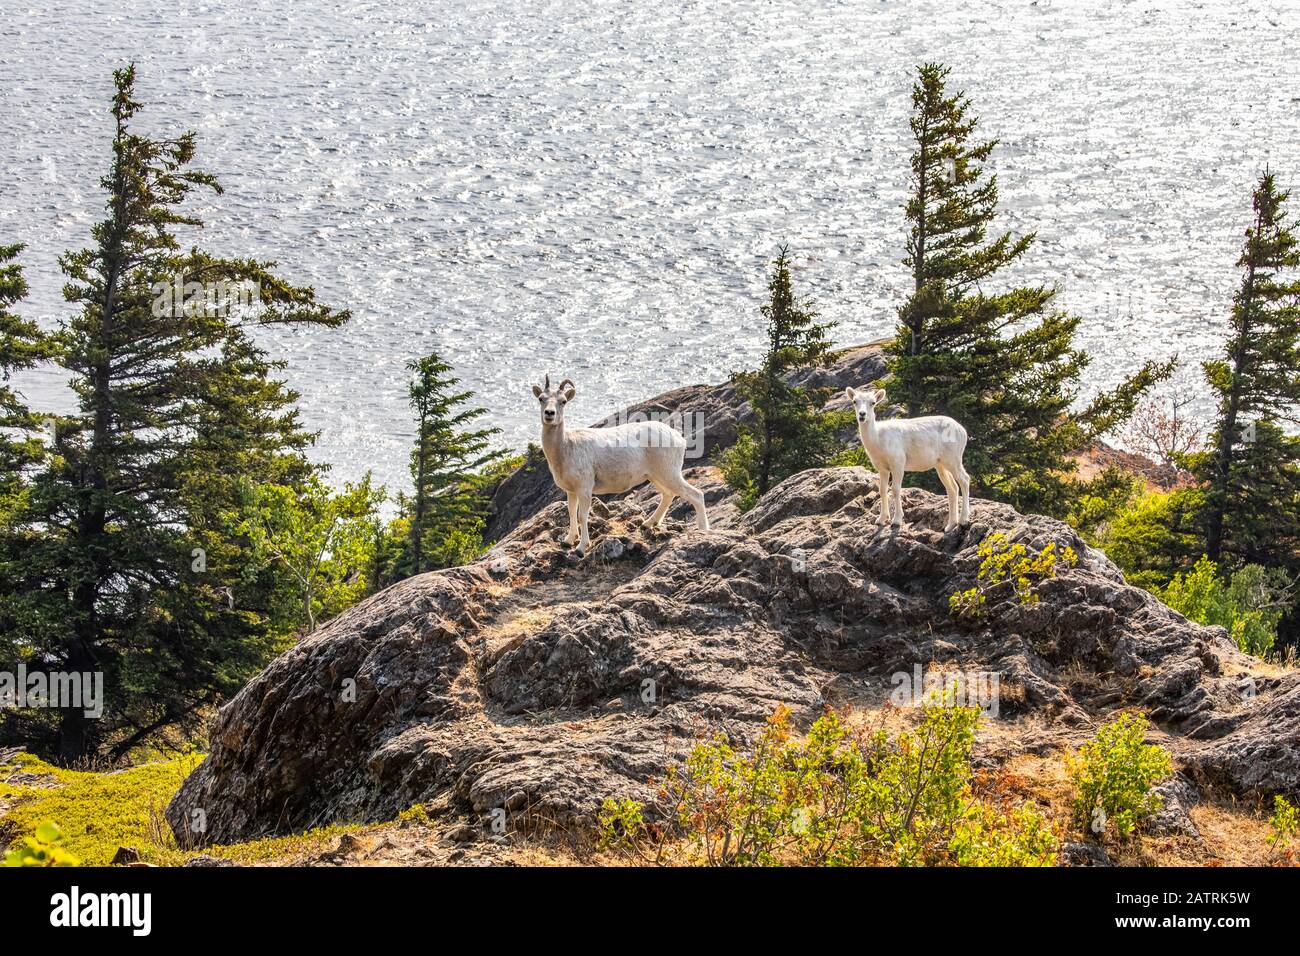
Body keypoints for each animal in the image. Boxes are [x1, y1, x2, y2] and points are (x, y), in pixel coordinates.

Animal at [531, 375, 710, 556]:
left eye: (563, 401)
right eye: (541, 399)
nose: (549, 414)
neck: (566, 448)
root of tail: (680, 439)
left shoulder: (584, 487)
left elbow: (582, 515)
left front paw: (581, 548)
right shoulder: (571, 490)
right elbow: (571, 513)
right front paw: (568, 541)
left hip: (669, 473)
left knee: (696, 495)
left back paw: (703, 531)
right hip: (655, 476)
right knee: (668, 495)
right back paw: (647, 524)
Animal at [846, 386, 971, 532]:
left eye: (873, 403)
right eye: (854, 401)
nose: (862, 415)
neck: (878, 440)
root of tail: (963, 431)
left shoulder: (898, 463)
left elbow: (895, 489)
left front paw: (896, 521)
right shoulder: (882, 468)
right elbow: (882, 490)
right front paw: (881, 520)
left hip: (953, 458)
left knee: (964, 479)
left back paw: (963, 520)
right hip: (941, 464)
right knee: (952, 488)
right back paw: (950, 525)